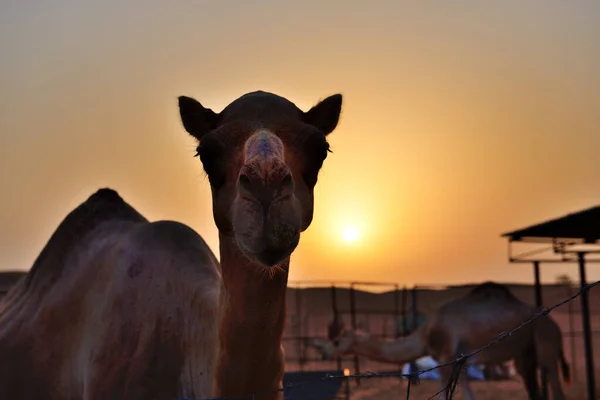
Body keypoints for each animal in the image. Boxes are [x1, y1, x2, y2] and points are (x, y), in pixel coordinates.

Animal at [312, 282, 568, 400]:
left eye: (336, 341)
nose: (323, 352)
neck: (425, 334)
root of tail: (554, 324)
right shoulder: (459, 362)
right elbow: (468, 394)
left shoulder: (445, 357)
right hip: (525, 353)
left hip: (546, 340)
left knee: (554, 381)